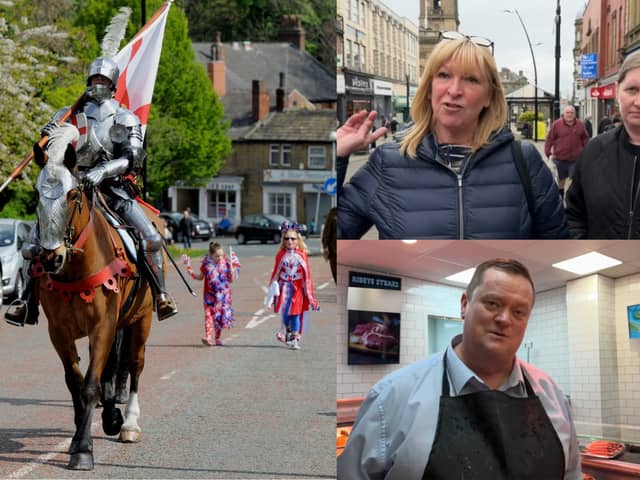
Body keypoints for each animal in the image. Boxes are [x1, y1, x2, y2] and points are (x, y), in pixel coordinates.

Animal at [33, 123, 155, 468]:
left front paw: (84, 450)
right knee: (111, 370)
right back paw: (112, 415)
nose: (52, 258)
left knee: (135, 364)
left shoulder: (103, 326)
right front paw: (78, 437)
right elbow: (77, 383)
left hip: (141, 319)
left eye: (73, 194)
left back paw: (128, 424)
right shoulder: (59, 332)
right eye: (35, 194)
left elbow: (90, 385)